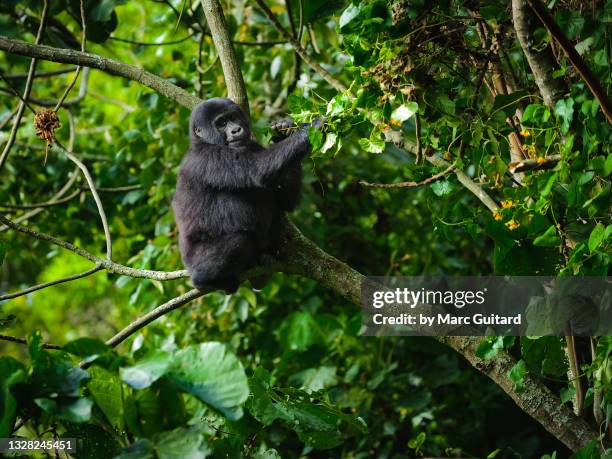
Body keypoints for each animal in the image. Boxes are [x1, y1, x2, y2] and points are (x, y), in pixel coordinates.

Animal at [175, 98, 314, 292]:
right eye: (221, 123)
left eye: (233, 117)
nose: (236, 130)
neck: (203, 141)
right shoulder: (206, 157)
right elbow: (259, 170)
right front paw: (312, 128)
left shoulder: (252, 145)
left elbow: (284, 200)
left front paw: (283, 132)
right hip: (193, 260)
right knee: (239, 239)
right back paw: (204, 279)